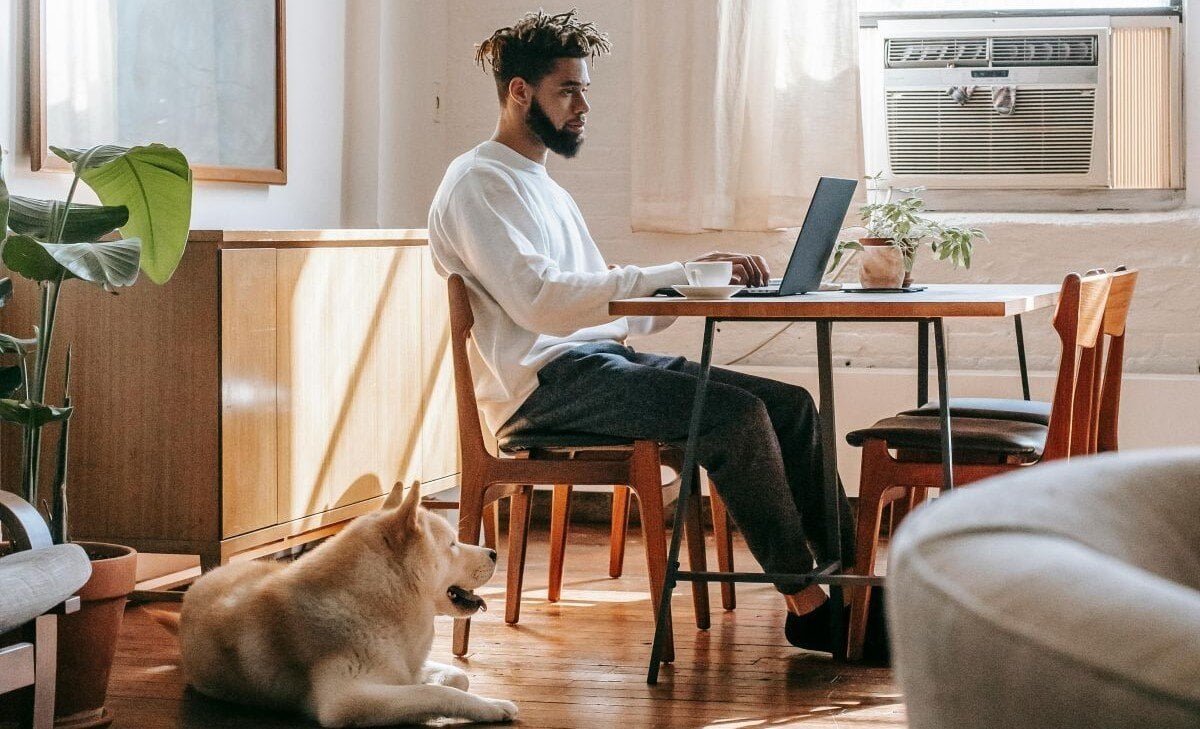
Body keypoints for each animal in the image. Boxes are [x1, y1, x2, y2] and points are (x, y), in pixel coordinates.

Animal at [176, 482, 516, 724]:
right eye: (453, 544)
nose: (494, 554)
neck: (375, 602)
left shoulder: (400, 666)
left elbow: (456, 678)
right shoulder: (345, 700)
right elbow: (433, 691)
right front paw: (492, 706)